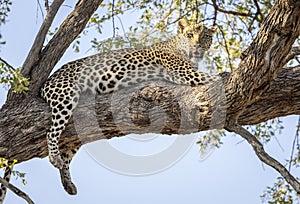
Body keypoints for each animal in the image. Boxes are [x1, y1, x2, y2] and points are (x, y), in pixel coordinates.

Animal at [35, 19, 218, 196]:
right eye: (190, 34)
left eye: (205, 37)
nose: (197, 46)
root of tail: (45, 83)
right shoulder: (186, 73)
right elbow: (214, 76)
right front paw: (223, 75)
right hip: (66, 96)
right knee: (51, 131)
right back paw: (54, 158)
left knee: (67, 150)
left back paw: (68, 183)